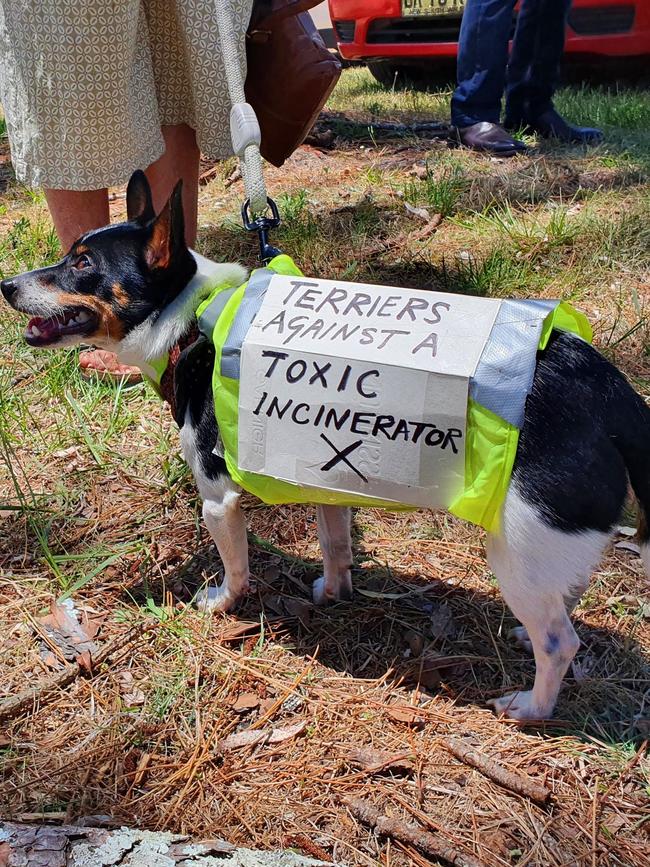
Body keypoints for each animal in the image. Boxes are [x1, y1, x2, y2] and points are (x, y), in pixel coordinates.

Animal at [2, 168, 644, 720]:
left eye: (82, 264)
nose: (7, 285)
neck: (192, 318)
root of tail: (608, 390)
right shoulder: (324, 479)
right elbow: (336, 544)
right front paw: (333, 592)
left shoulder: (219, 501)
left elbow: (236, 565)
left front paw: (223, 603)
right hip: (543, 548)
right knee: (566, 599)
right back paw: (524, 636)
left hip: (517, 548)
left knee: (561, 643)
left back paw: (532, 706)